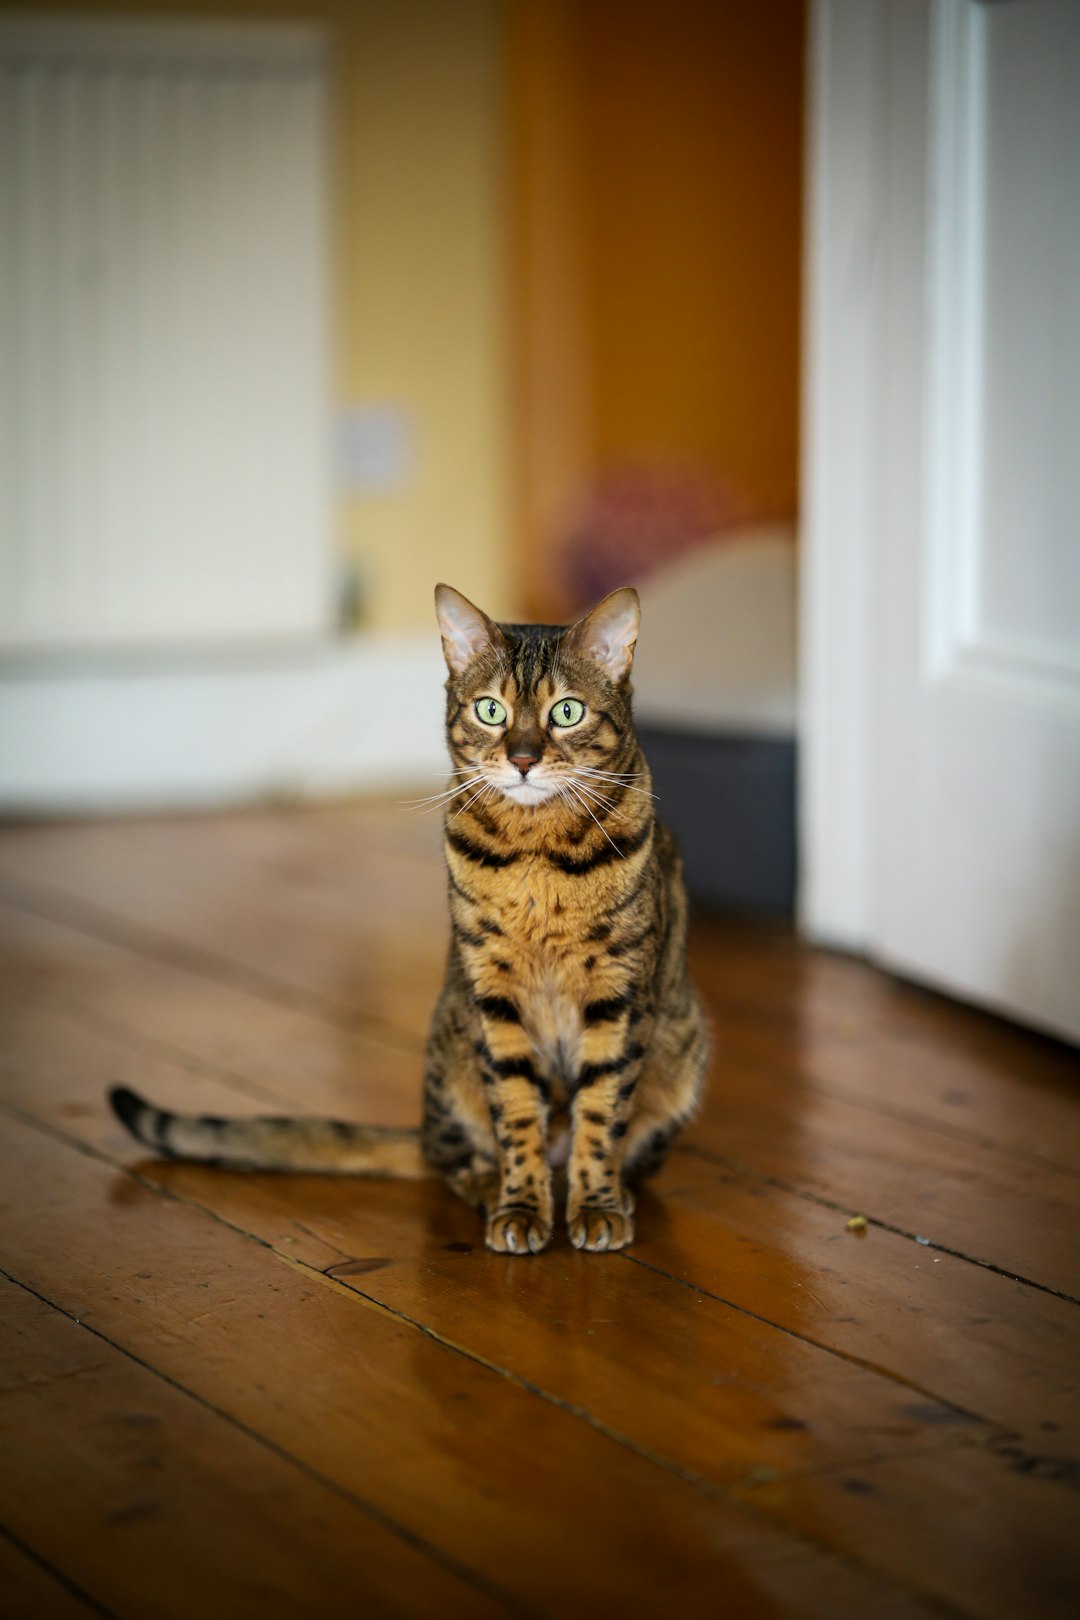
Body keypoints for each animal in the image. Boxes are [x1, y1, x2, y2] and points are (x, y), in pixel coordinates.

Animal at [111, 589, 709, 1257]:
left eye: (568, 711)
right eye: (492, 710)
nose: (523, 759)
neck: (537, 853)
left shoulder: (617, 993)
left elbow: (601, 1114)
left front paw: (597, 1205)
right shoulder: (493, 993)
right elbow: (516, 1112)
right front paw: (521, 1205)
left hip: (681, 1058)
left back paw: (613, 1193)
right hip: (452, 1053)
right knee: (449, 1158)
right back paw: (491, 1186)